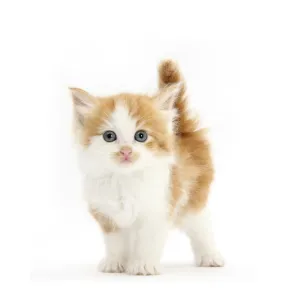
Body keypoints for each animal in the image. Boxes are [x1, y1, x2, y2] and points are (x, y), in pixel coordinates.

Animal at [70, 59, 224, 276]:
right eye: (109, 136)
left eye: (141, 136)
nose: (126, 151)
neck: (125, 179)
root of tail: (181, 130)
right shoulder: (107, 215)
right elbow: (115, 242)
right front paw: (115, 263)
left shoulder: (158, 208)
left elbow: (147, 241)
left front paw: (143, 265)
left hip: (194, 198)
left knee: (202, 227)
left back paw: (210, 257)